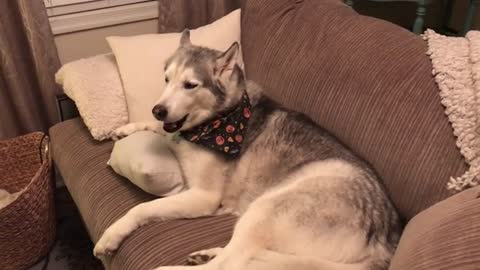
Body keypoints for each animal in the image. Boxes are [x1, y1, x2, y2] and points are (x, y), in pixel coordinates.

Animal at [94, 30, 402, 270]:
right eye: (167, 79)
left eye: (190, 85)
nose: (158, 109)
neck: (212, 124)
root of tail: (384, 243)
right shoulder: (174, 129)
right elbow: (160, 129)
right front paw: (127, 127)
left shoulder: (203, 196)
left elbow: (143, 208)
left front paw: (113, 234)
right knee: (242, 256)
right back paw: (207, 253)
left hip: (270, 205)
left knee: (229, 263)